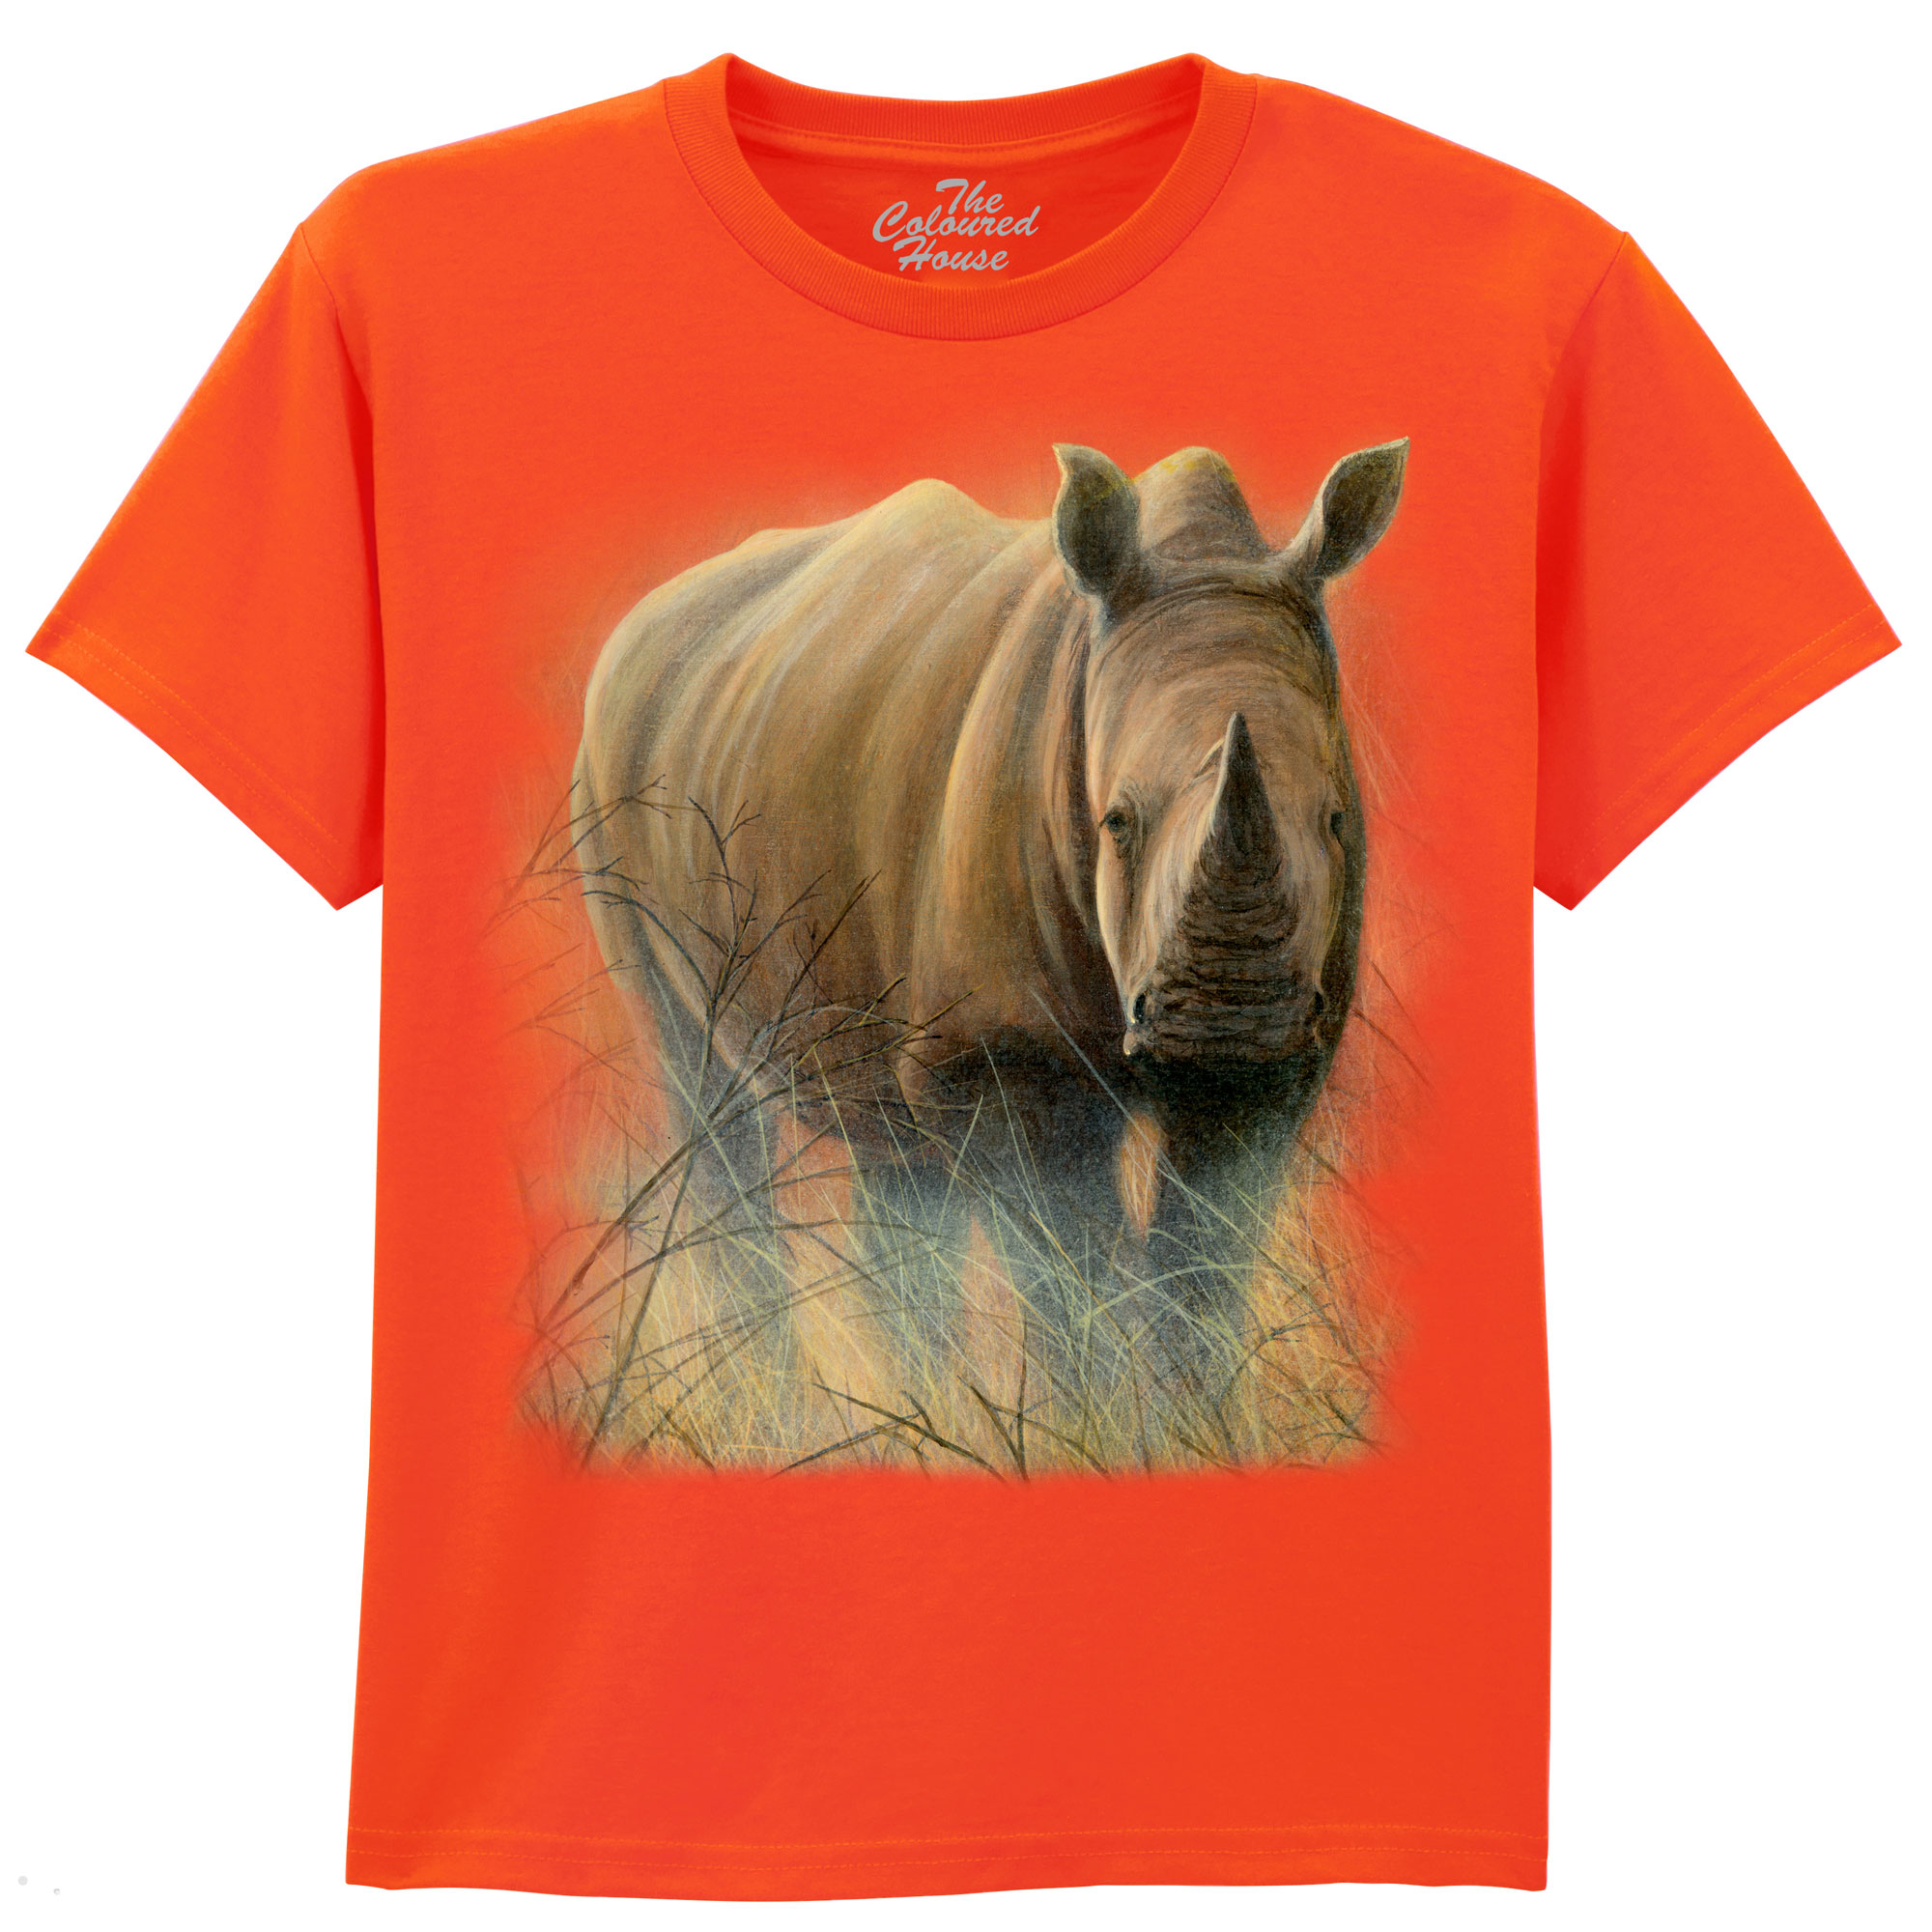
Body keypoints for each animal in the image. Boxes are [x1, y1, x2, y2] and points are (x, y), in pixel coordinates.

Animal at [573, 439, 1405, 1348]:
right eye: (1116, 822)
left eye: (1335, 820)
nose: (1227, 1018)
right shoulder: (997, 1050)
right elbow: (1062, 1264)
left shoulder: (1283, 1061)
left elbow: (1203, 1260)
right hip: (610, 773)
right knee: (698, 1082)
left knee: (888, 1142)